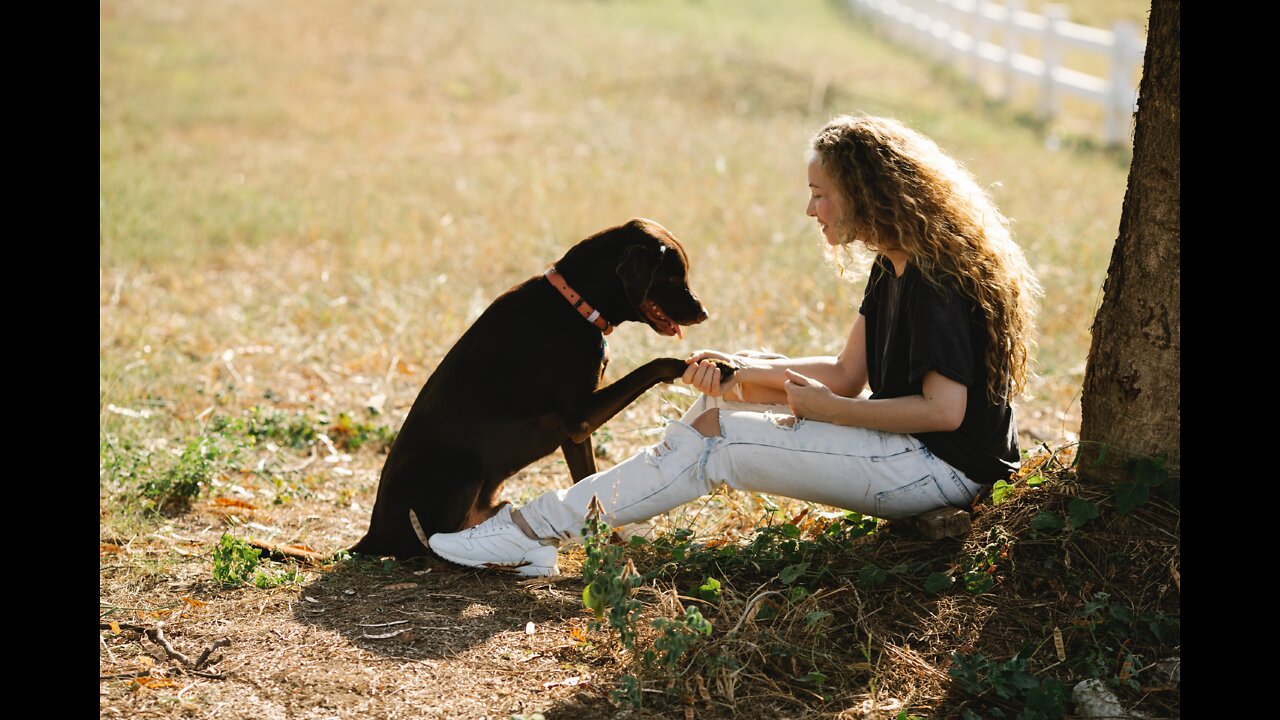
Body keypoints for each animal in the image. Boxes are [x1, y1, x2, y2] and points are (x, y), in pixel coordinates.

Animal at [350, 217, 721, 556]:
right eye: (672, 277)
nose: (704, 313)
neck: (575, 304)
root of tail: (372, 534)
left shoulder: (576, 434)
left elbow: (589, 485)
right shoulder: (581, 415)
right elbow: (656, 365)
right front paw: (710, 366)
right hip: (464, 470)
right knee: (430, 542)